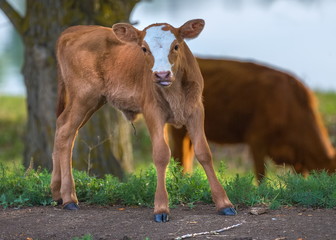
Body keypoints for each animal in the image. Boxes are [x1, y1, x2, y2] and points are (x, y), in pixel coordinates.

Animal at [51, 19, 238, 222]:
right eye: (144, 49)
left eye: (176, 46)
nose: (162, 74)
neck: (175, 91)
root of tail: (74, 30)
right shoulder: (152, 110)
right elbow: (161, 154)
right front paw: (161, 208)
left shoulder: (196, 109)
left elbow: (204, 152)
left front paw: (224, 203)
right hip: (84, 96)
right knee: (66, 132)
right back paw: (69, 197)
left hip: (93, 101)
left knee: (64, 128)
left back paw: (57, 193)